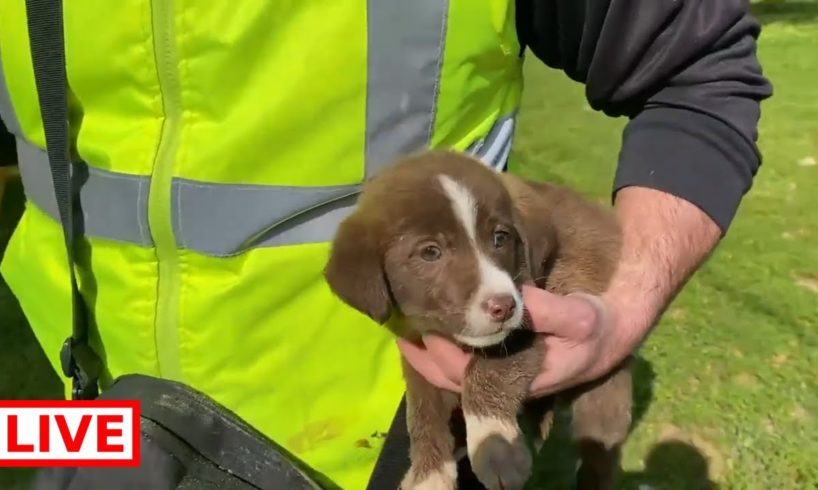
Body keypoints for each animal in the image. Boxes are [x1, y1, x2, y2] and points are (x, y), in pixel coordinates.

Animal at [324, 150, 632, 490]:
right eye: (430, 252)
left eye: (500, 238)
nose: (504, 307)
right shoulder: (419, 354)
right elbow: (422, 412)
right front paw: (428, 474)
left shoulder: (536, 316)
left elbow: (486, 372)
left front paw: (496, 448)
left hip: (603, 393)